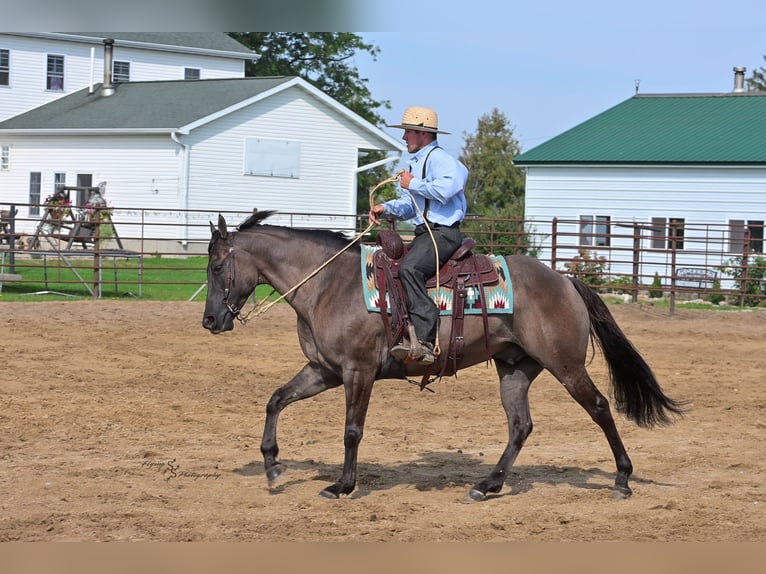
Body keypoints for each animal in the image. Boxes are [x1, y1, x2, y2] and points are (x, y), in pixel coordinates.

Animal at [202, 211, 684, 502]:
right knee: (520, 426)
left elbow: (352, 431)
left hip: (566, 365)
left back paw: (622, 478)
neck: (329, 285)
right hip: (515, 368)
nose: (209, 321)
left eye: (217, 267)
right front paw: (271, 465)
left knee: (600, 407)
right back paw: (488, 485)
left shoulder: (358, 371)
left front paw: (342, 485)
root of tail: (565, 281)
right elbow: (276, 400)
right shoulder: (324, 370)